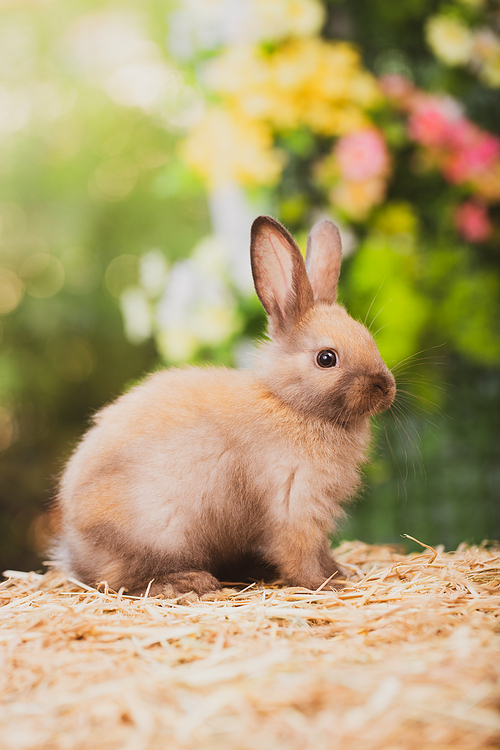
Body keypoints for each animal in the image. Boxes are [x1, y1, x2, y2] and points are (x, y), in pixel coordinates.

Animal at [52, 217, 396, 600]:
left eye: (369, 338)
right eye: (326, 358)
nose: (386, 387)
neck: (291, 404)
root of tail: (75, 552)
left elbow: (321, 551)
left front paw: (338, 573)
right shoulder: (293, 506)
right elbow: (300, 554)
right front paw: (324, 584)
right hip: (160, 536)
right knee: (124, 579)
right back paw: (191, 582)